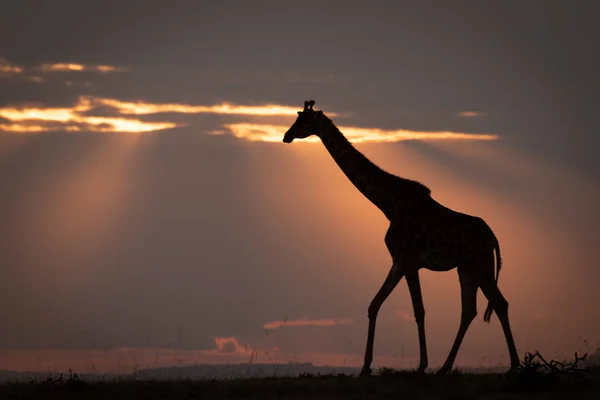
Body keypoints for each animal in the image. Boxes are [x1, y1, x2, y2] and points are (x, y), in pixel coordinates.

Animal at [282, 100, 520, 376]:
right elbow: (374, 305)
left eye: (306, 121)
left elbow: (419, 310)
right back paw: (445, 368)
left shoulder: (410, 260)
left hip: (481, 264)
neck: (388, 204)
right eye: (297, 117)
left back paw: (514, 366)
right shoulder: (397, 261)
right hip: (466, 268)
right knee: (469, 310)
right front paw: (365, 367)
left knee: (500, 303)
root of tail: (493, 237)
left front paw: (421, 365)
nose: (286, 136)